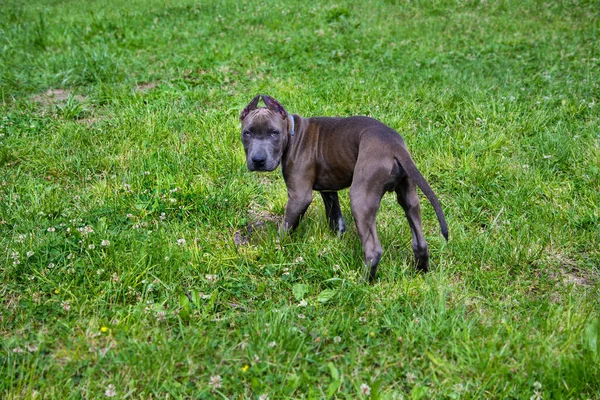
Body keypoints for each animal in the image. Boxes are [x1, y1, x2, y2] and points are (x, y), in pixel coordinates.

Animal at [239, 95, 446, 280]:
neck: (293, 133)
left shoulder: (299, 196)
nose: (258, 160)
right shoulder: (329, 191)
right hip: (408, 195)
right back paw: (421, 273)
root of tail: (394, 145)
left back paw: (362, 283)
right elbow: (335, 219)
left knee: (373, 250)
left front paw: (275, 250)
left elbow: (286, 227)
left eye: (274, 133)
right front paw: (335, 242)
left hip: (361, 198)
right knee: (420, 241)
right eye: (247, 133)